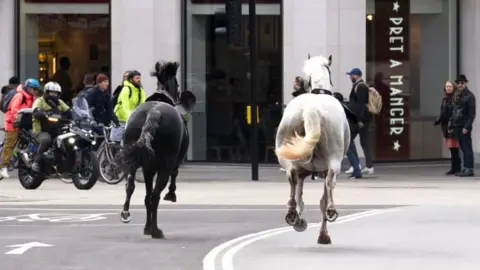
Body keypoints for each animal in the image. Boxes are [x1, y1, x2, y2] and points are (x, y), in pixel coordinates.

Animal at [119, 61, 196, 238]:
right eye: (178, 84)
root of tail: (153, 113)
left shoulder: (148, 169)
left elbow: (146, 196)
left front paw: (146, 227)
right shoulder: (171, 164)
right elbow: (173, 176)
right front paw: (171, 194)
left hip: (133, 162)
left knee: (131, 187)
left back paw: (128, 214)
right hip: (164, 166)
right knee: (155, 196)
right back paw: (156, 230)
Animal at [276, 54, 350, 245]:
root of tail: (311, 109)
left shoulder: (302, 172)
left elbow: (299, 195)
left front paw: (299, 219)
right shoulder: (323, 170)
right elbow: (322, 199)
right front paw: (323, 234)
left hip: (288, 158)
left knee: (292, 180)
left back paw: (292, 214)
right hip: (333, 161)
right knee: (330, 185)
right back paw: (331, 211)